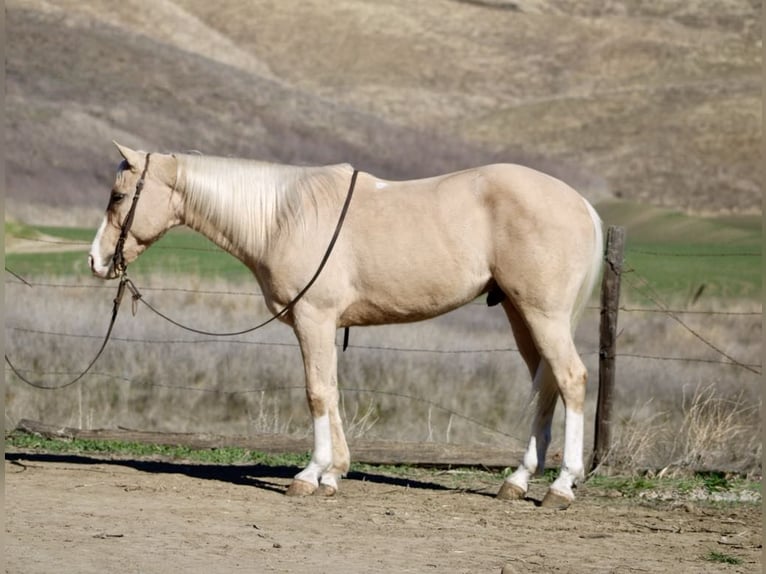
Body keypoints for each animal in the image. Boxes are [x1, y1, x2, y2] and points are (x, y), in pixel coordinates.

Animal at [90, 143, 608, 508]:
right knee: (546, 385)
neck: (283, 216)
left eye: (118, 196)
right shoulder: (321, 323)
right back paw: (518, 480)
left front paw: (309, 475)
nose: (96, 261)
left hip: (543, 314)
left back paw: (562, 486)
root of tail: (583, 204)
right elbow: (332, 390)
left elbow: (317, 392)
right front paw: (334, 473)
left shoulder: (313, 318)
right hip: (521, 315)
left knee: (571, 379)